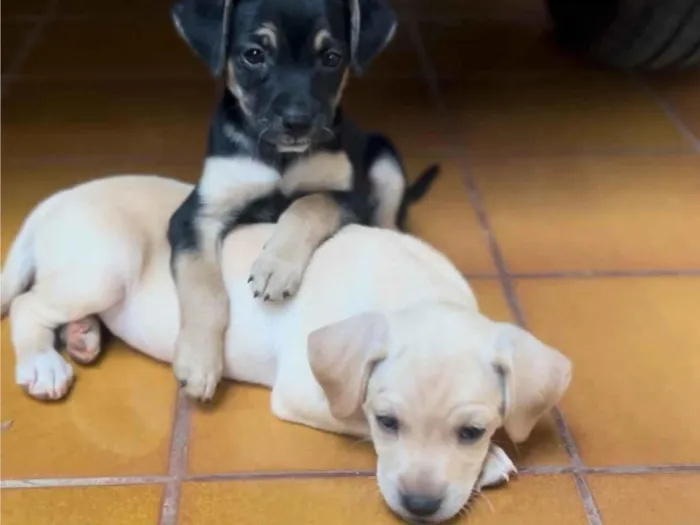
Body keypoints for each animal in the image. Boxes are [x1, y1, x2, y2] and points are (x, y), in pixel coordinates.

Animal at [0, 171, 568, 520]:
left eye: (471, 431)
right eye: (387, 423)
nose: (420, 506)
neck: (413, 291)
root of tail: (54, 199)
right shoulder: (307, 390)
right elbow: (352, 414)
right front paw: (492, 462)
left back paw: (82, 336)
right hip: (104, 265)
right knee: (28, 306)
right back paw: (44, 364)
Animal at [167, 0, 438, 400]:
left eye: (331, 57)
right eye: (254, 54)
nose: (297, 123)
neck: (279, 157)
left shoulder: (349, 197)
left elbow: (306, 205)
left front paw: (276, 265)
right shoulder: (196, 214)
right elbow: (203, 287)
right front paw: (199, 360)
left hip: (385, 161)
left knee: (388, 220)